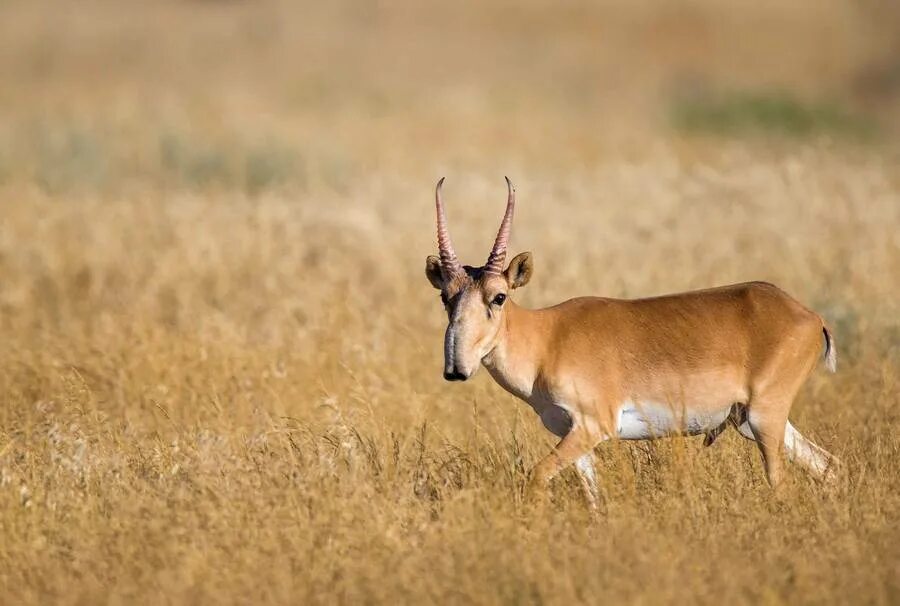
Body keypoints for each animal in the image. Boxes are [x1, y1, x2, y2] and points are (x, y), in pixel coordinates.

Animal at [426, 178, 840, 506]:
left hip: (765, 419)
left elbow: (538, 475)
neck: (547, 338)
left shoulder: (593, 427)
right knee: (830, 466)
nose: (456, 368)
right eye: (446, 296)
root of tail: (810, 316)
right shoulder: (572, 434)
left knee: (783, 484)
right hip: (752, 422)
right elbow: (595, 499)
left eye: (498, 296)